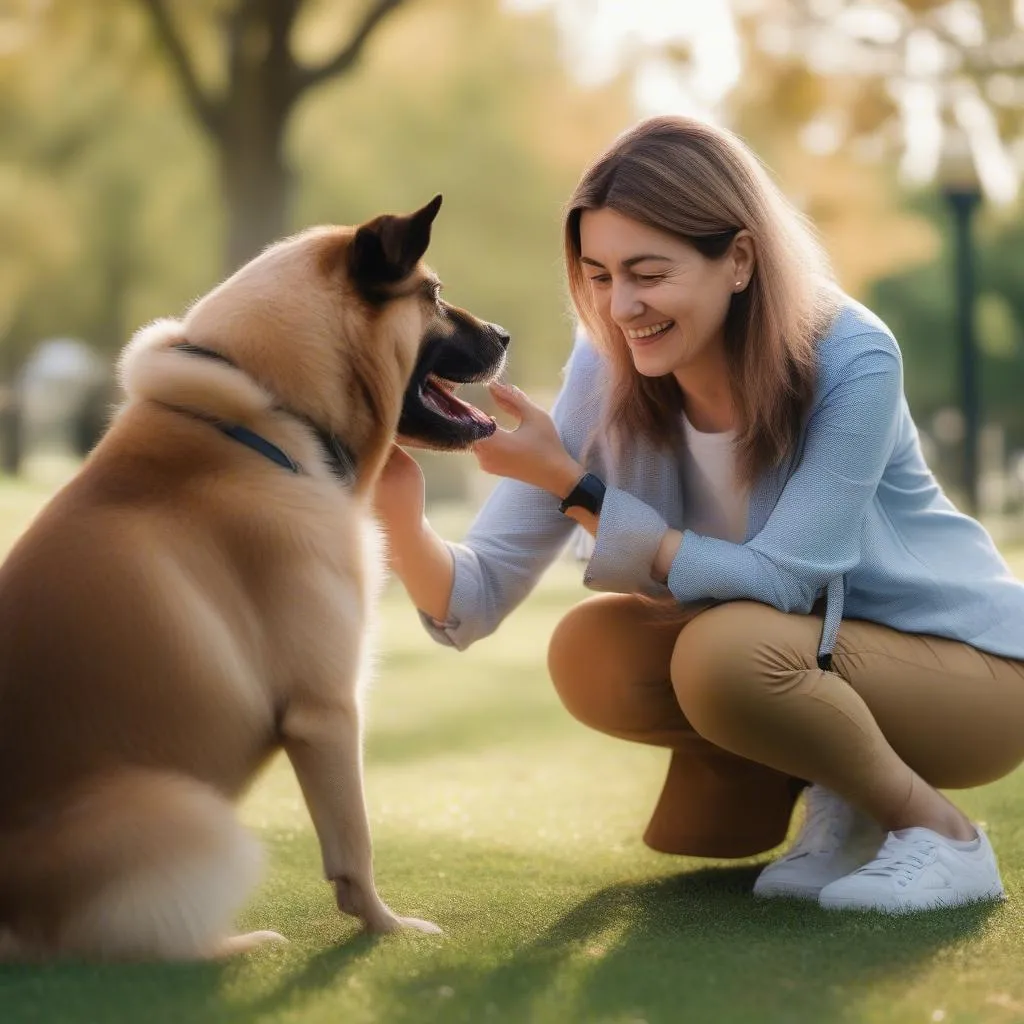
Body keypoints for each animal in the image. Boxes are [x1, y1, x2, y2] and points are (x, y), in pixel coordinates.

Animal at [0, 193, 507, 958]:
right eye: (435, 295)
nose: (505, 334)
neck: (271, 415)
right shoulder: (327, 712)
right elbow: (354, 847)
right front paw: (385, 928)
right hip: (201, 822)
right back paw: (237, 944)